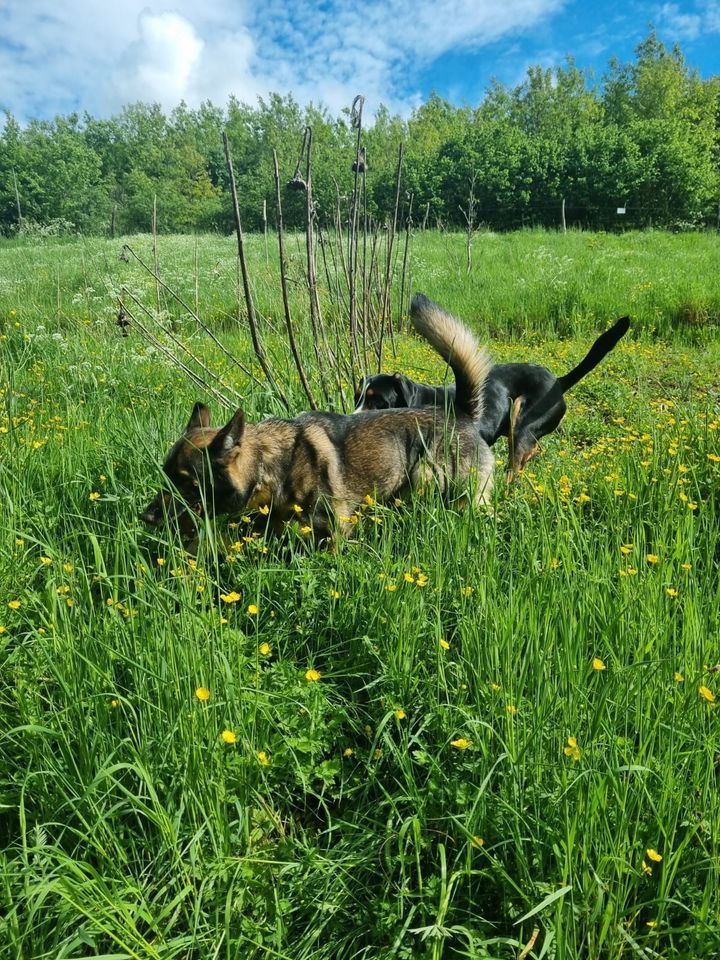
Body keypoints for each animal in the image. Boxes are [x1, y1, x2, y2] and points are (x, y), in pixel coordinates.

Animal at [143, 292, 498, 548]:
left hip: (442, 486)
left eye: (186, 483)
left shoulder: (334, 531)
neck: (274, 462)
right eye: (166, 477)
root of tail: (461, 414)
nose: (146, 517)